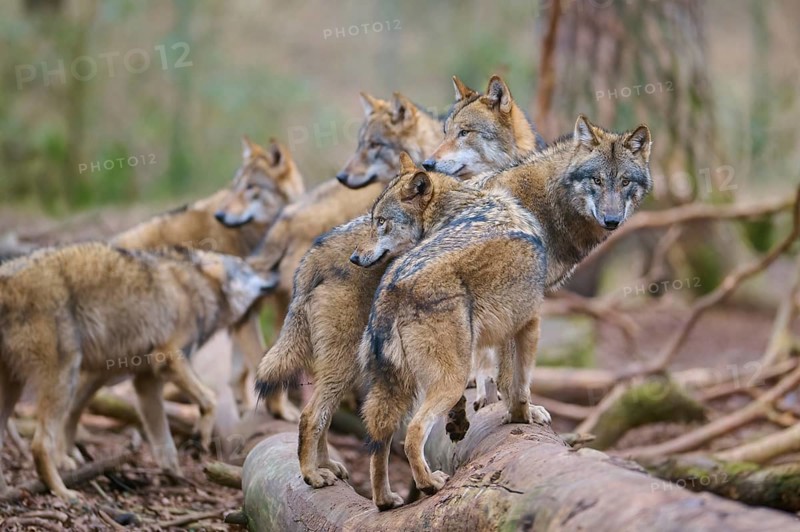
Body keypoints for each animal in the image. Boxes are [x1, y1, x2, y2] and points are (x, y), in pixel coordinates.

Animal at [0, 243, 275, 501]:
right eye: (246, 269)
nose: (273, 276)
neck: (196, 289)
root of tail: (7, 278)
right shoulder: (167, 359)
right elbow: (210, 398)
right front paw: (200, 438)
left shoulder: (146, 382)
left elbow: (164, 441)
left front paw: (176, 475)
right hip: (67, 376)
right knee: (40, 444)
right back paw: (63, 492)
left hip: (53, 381)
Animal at [112, 136, 304, 418]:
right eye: (234, 187)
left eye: (250, 187)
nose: (221, 216)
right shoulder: (245, 316)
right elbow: (259, 362)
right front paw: (282, 411)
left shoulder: (244, 315)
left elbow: (239, 373)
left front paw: (246, 410)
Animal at [358, 116, 653, 510]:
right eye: (596, 180)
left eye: (624, 182)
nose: (611, 219)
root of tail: (392, 289)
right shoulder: (528, 316)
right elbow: (517, 377)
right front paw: (521, 413)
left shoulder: (503, 315)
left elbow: (498, 367)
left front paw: (484, 405)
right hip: (440, 379)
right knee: (413, 432)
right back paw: (430, 483)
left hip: (394, 386)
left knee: (379, 440)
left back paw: (386, 499)